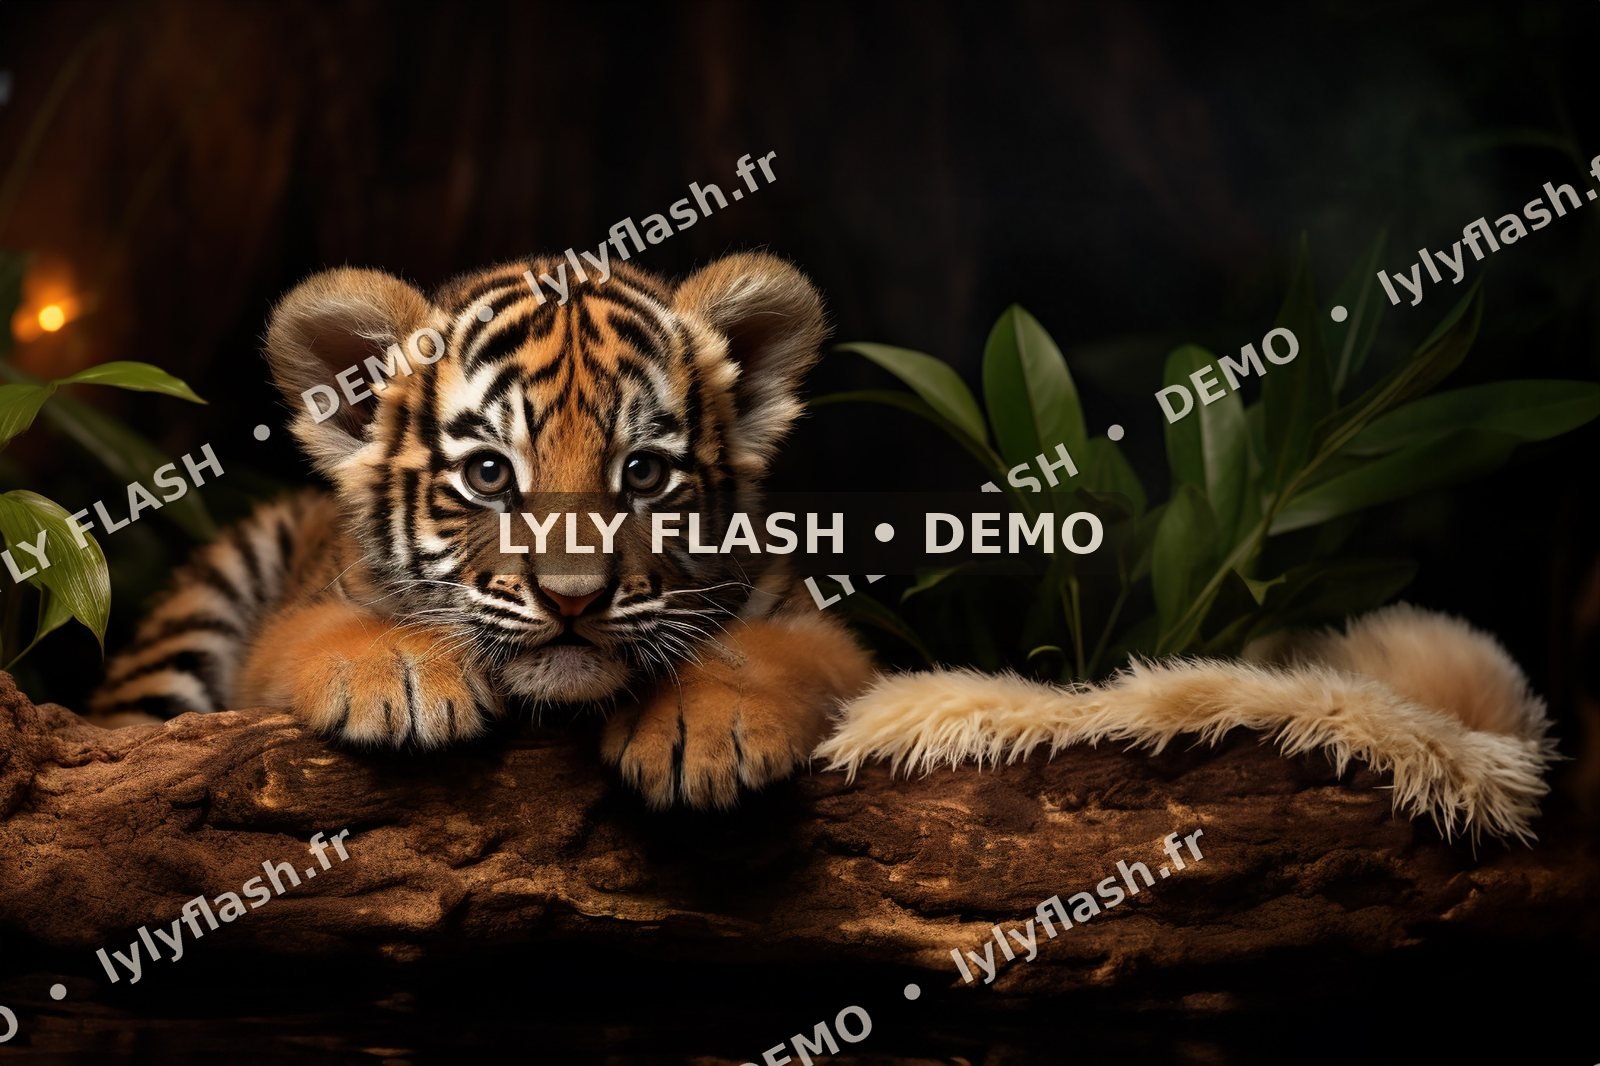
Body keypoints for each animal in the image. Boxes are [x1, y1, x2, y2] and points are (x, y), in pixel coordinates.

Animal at [90, 252, 875, 809]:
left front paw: (710, 723)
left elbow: (775, 652)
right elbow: (315, 633)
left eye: (645, 473)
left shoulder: (821, 632)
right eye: (490, 474)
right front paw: (398, 671)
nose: (572, 600)